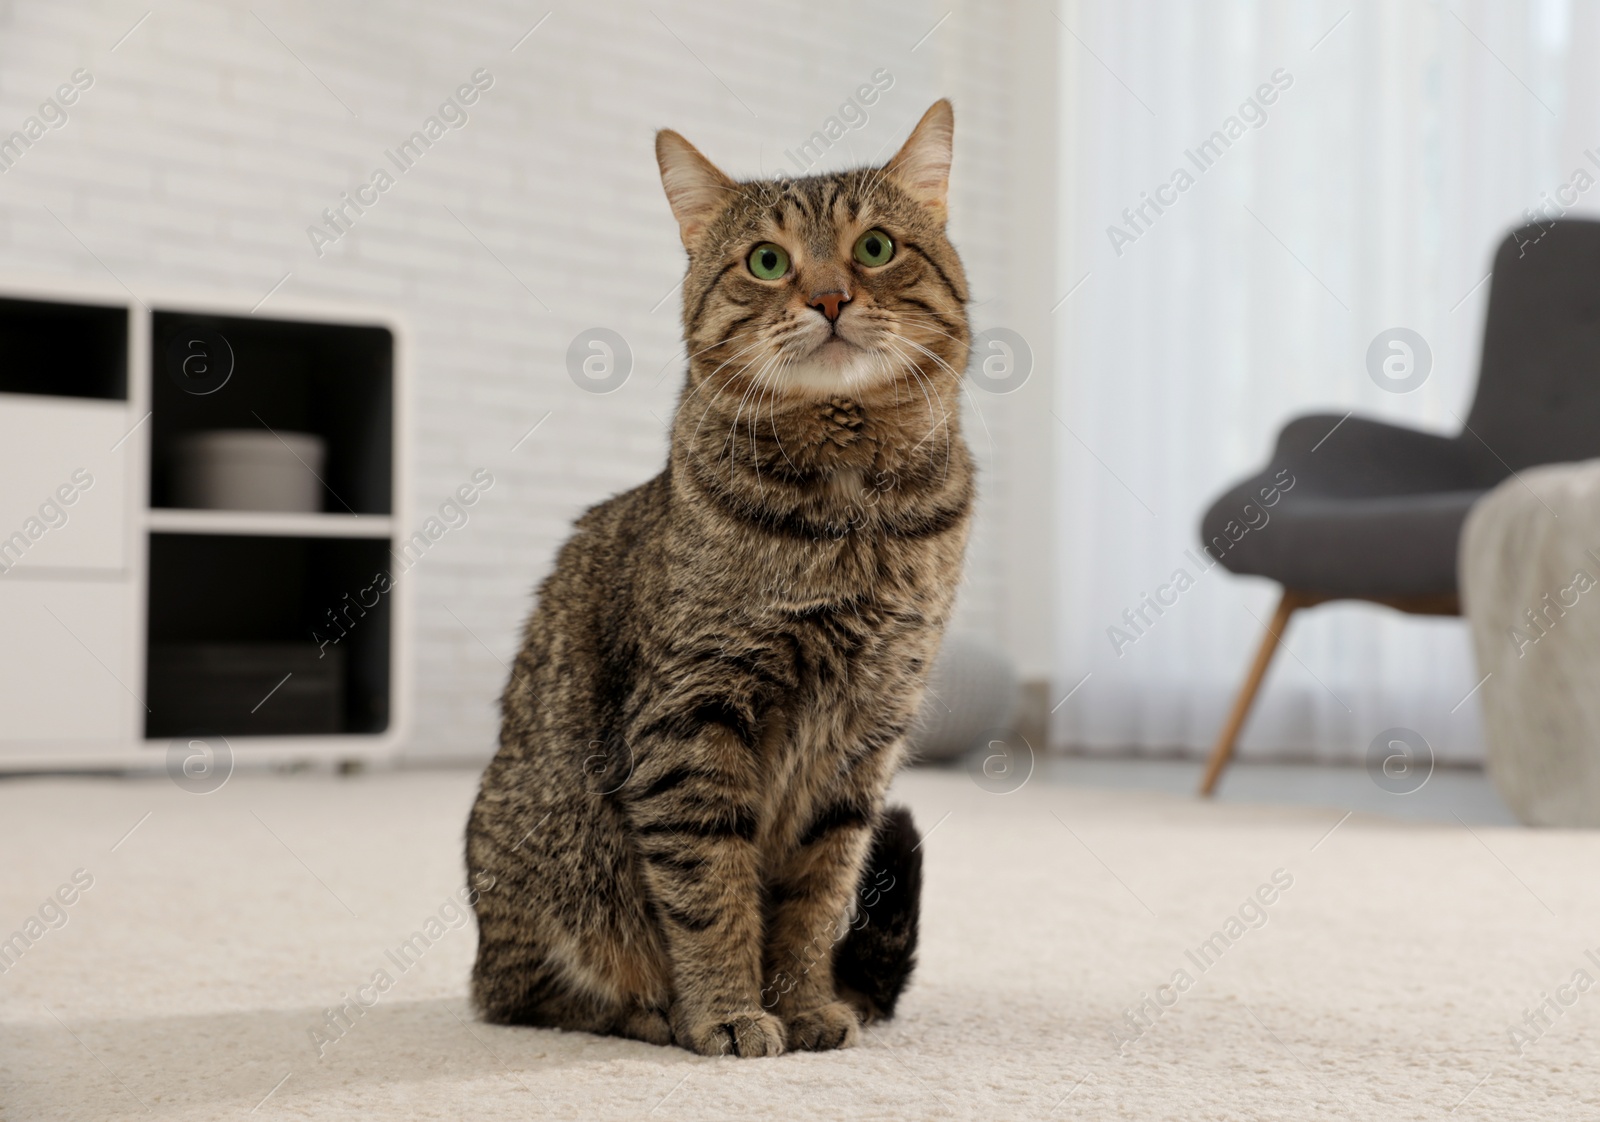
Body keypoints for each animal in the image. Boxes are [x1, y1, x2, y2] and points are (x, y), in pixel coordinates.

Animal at [464, 100, 972, 1056]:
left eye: (876, 247)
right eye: (767, 261)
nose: (829, 297)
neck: (853, 514)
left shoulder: (867, 735)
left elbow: (817, 895)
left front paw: (804, 1004)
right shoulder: (691, 719)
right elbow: (710, 889)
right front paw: (730, 1011)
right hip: (546, 862)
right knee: (521, 996)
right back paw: (648, 1011)